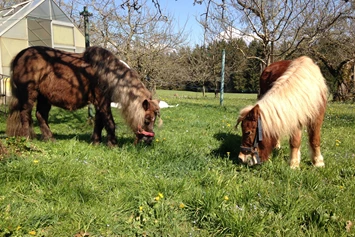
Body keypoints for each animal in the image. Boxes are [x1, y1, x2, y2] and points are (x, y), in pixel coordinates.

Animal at [6, 45, 161, 145]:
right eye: (147, 120)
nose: (149, 140)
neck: (109, 75)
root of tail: (21, 55)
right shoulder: (102, 102)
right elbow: (109, 123)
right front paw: (113, 144)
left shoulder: (100, 103)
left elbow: (99, 123)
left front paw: (96, 142)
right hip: (29, 94)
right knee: (25, 114)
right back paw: (28, 138)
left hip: (44, 97)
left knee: (41, 115)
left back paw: (50, 139)